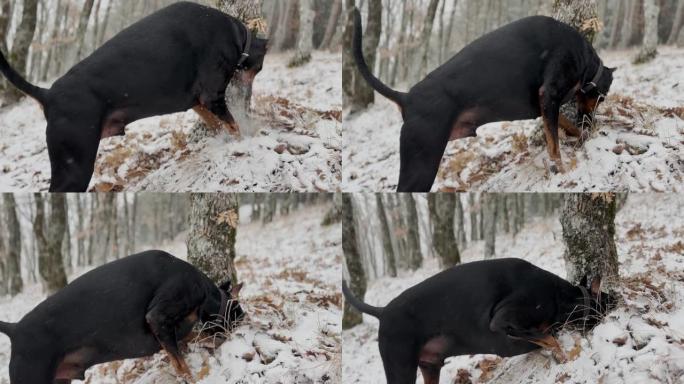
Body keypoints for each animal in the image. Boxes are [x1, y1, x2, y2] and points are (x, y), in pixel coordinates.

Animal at [0, 0, 268, 192]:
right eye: (259, 68)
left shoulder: (199, 103)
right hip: (74, 164)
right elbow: (233, 125)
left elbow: (218, 125)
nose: (246, 96)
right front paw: (245, 141)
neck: (237, 35)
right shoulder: (212, 96)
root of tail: (47, 95)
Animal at [0, 250, 244, 382]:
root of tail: (15, 329)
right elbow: (182, 365)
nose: (244, 323)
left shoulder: (169, 333)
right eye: (238, 312)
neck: (204, 290)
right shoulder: (158, 317)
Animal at [344, 258, 616, 384]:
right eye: (606, 297)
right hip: (401, 367)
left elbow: (547, 337)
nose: (619, 298)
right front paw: (568, 356)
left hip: (430, 366)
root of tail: (382, 311)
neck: (559, 296)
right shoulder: (504, 321)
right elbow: (550, 337)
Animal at [352, 11, 616, 191]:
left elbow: (564, 125)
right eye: (602, 98)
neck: (585, 60)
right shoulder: (549, 95)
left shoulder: (546, 106)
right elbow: (554, 148)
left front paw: (582, 135)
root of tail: (406, 98)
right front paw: (564, 172)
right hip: (421, 163)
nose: (592, 122)